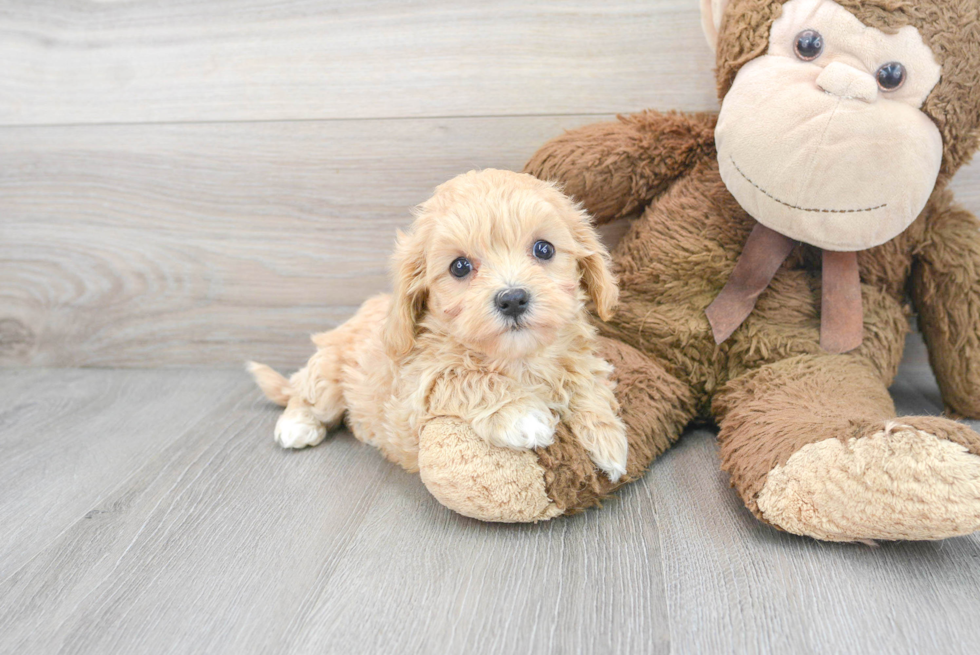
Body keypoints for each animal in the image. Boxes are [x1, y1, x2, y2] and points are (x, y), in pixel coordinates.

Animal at [251, 169, 628, 482]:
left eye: (544, 249)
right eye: (459, 267)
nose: (513, 299)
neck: (517, 359)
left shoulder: (579, 358)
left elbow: (586, 382)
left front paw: (608, 438)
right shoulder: (416, 389)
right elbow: (465, 377)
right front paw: (522, 413)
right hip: (328, 372)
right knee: (305, 395)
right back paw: (297, 425)